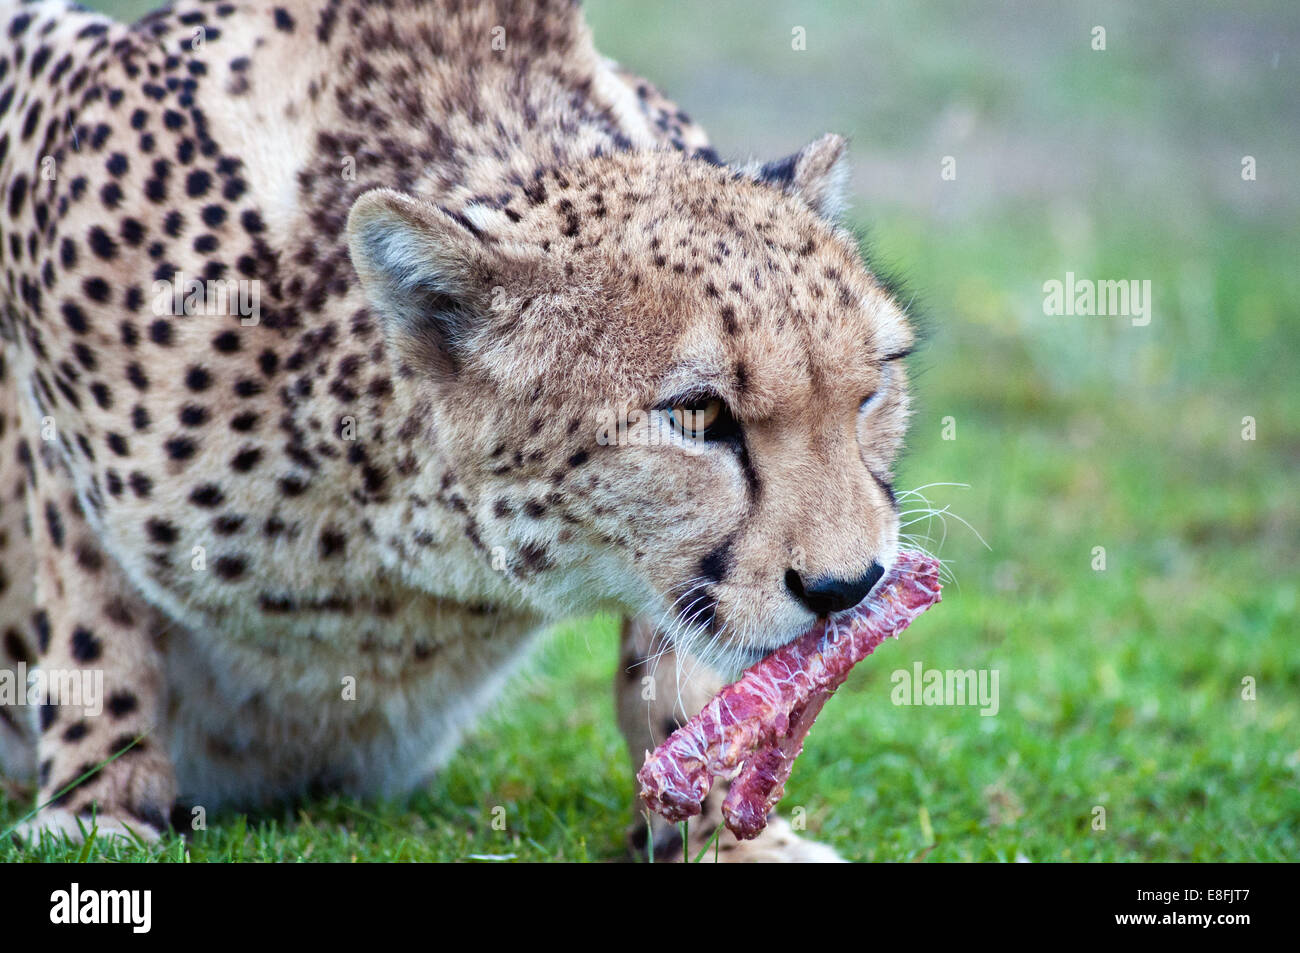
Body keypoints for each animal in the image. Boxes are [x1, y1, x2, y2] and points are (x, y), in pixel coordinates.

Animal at [0, 0, 915, 863]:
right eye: (697, 415)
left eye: (871, 389)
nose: (848, 586)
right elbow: (91, 610)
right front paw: (100, 803)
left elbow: (681, 661)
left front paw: (727, 832)